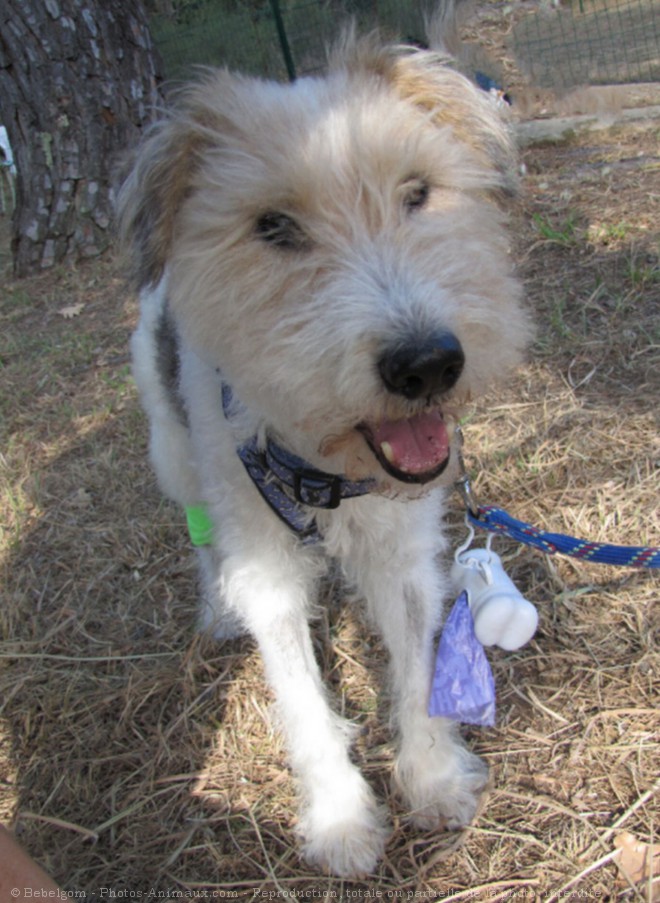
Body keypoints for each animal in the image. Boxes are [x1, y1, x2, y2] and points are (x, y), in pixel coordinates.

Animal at [117, 26, 532, 876]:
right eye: (273, 226)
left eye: (418, 192)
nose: (427, 364)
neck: (325, 470)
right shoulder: (267, 568)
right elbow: (303, 699)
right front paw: (341, 820)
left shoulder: (402, 550)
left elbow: (416, 668)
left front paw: (435, 778)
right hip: (174, 451)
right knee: (199, 536)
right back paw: (215, 611)